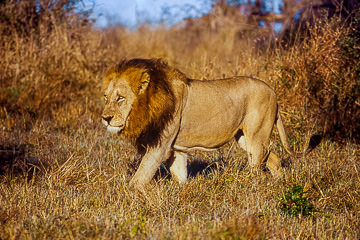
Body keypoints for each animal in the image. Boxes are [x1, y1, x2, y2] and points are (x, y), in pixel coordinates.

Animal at [102, 58, 310, 189]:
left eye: (120, 98)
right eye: (105, 97)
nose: (105, 118)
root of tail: (273, 91)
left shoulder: (159, 146)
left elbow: (139, 178)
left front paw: (128, 195)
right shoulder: (176, 148)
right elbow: (179, 173)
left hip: (256, 137)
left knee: (257, 166)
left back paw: (252, 187)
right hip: (244, 138)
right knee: (273, 158)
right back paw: (280, 183)